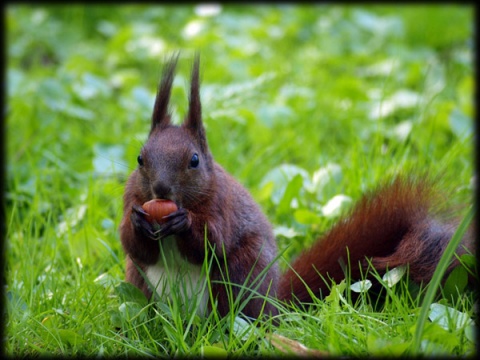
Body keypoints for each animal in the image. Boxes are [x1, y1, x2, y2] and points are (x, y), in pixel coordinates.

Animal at [119, 54, 472, 320]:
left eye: (194, 160)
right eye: (140, 158)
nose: (161, 190)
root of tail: (276, 303)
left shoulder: (222, 205)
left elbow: (213, 243)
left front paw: (184, 223)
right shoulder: (130, 198)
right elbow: (133, 245)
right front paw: (137, 222)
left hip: (242, 274)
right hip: (139, 282)